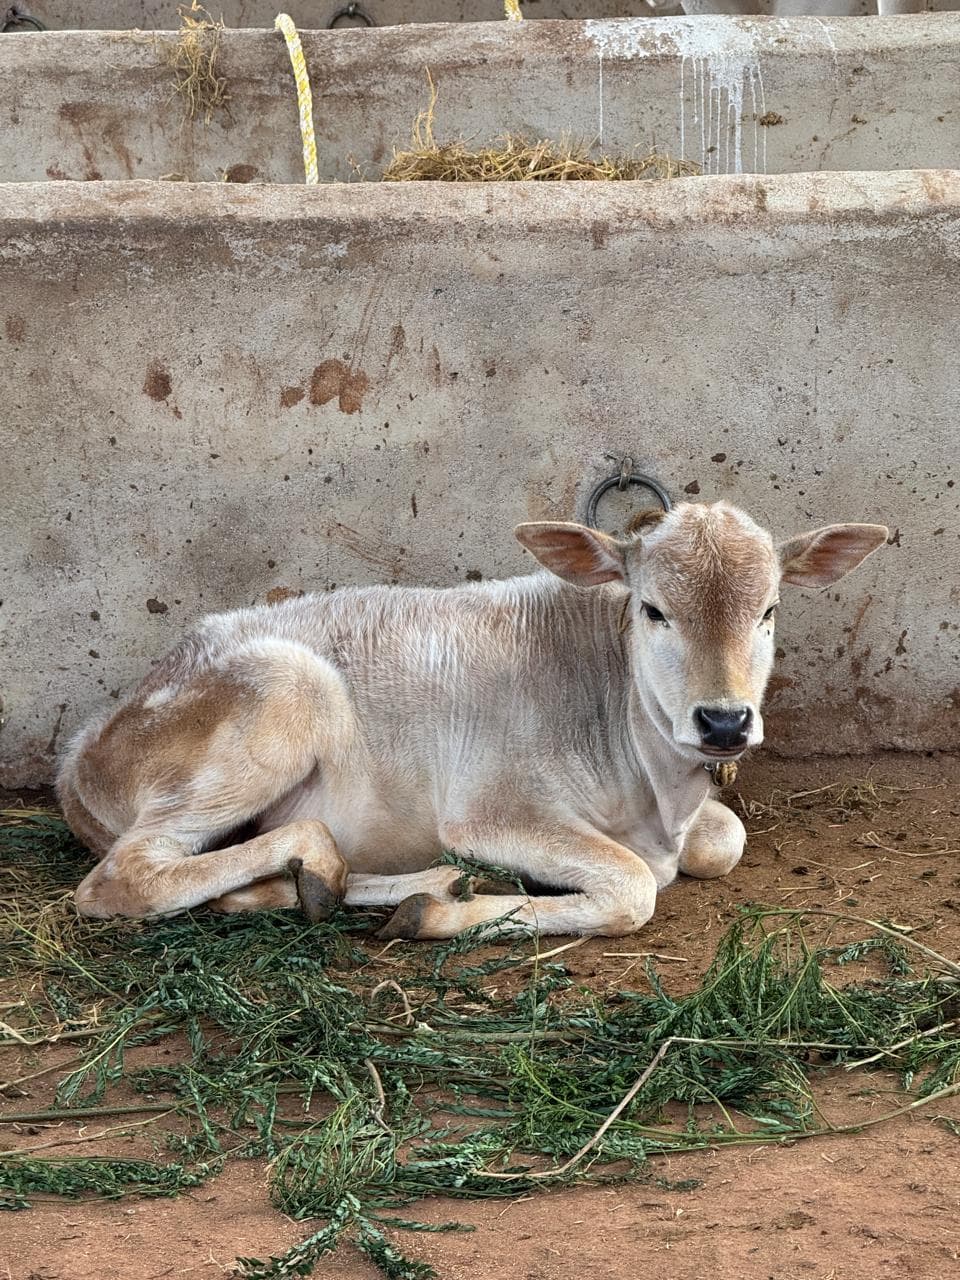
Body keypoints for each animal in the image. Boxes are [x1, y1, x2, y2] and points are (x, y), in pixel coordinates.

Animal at [56, 501, 886, 939]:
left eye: (769, 611)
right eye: (653, 610)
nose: (723, 722)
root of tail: (80, 755)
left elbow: (725, 838)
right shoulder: (492, 809)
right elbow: (632, 887)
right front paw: (445, 913)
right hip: (283, 691)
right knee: (128, 876)